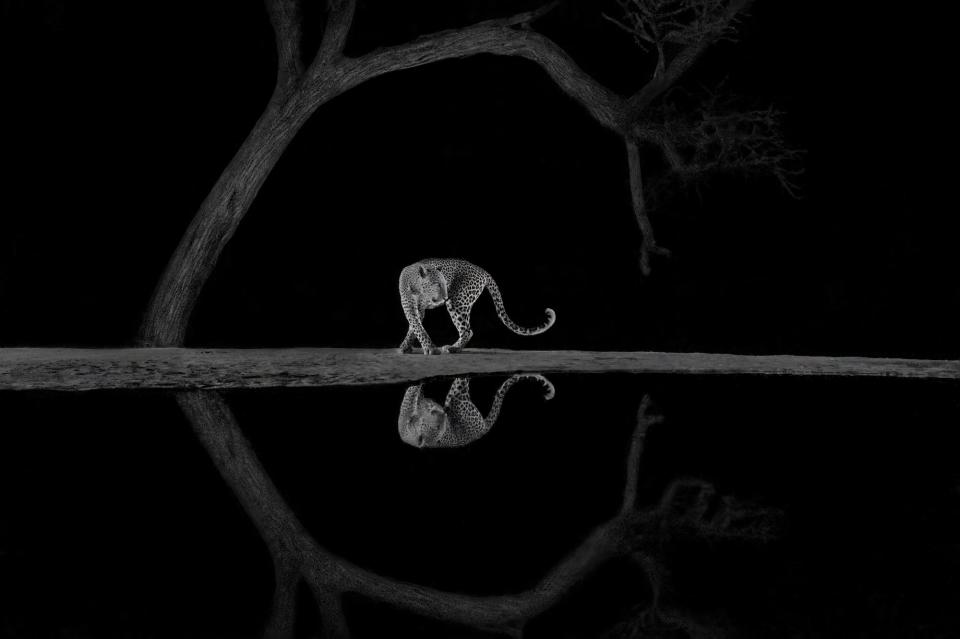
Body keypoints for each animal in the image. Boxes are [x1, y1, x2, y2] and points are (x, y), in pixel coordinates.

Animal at [394, 258, 556, 356]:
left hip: (458, 302)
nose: (445, 297)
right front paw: (405, 346)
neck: (418, 288)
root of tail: (482, 270)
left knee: (467, 330)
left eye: (445, 283)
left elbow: (417, 327)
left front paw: (430, 348)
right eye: (437, 284)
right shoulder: (411, 307)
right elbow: (415, 326)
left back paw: (453, 348)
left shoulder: (416, 308)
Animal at [398, 376, 556, 450]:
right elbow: (412, 393)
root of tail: (484, 427)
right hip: (457, 398)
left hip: (455, 398)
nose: (444, 412)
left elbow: (413, 391)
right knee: (462, 380)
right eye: (437, 426)